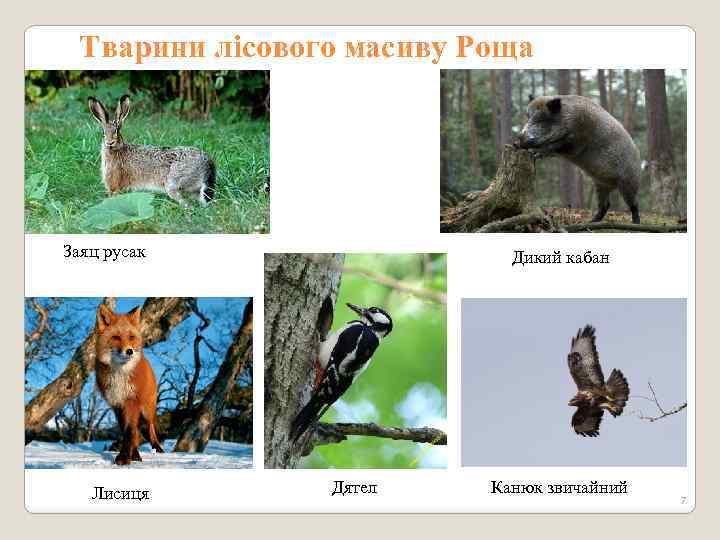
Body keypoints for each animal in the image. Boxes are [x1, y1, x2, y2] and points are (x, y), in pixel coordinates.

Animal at [88, 95, 216, 207]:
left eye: (117, 131)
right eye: (103, 133)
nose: (110, 142)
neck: (117, 149)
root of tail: (207, 164)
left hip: (173, 184)